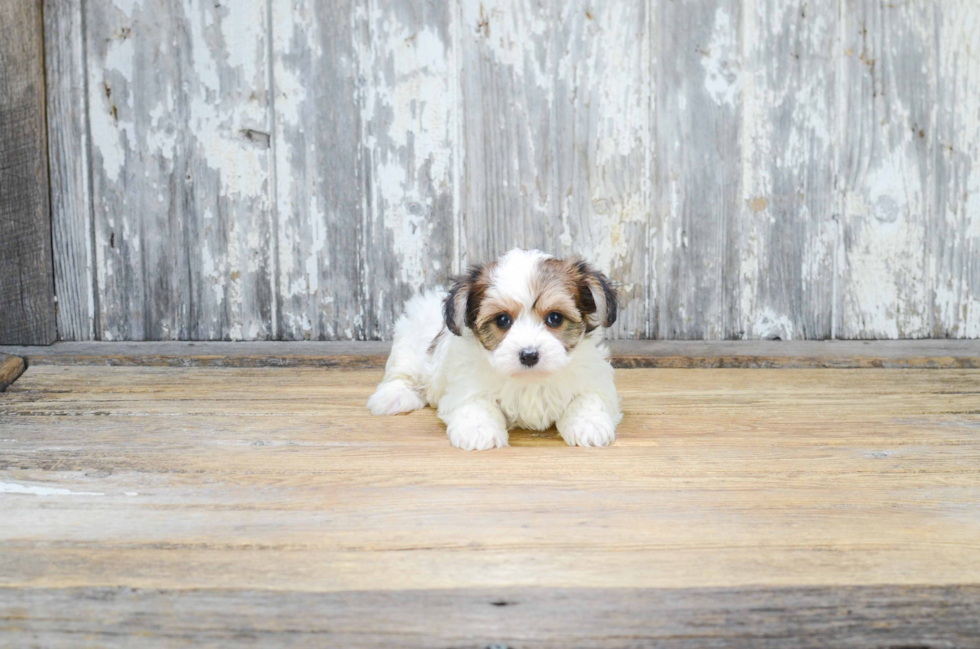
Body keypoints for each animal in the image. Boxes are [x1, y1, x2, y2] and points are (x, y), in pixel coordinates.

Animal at [368, 248, 620, 450]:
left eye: (555, 318)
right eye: (502, 320)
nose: (529, 355)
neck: (531, 380)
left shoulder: (595, 379)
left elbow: (588, 398)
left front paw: (589, 425)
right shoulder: (464, 386)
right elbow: (476, 403)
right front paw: (478, 431)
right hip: (409, 342)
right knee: (402, 373)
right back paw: (392, 397)